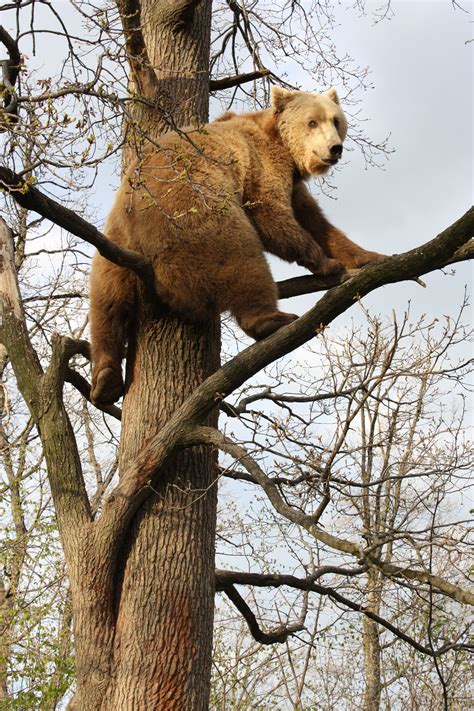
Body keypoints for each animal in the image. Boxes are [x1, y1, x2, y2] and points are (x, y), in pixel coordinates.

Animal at [89, 86, 384, 404]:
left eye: (336, 121)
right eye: (312, 122)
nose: (334, 149)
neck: (284, 150)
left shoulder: (295, 187)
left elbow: (316, 221)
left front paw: (368, 256)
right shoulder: (263, 167)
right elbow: (272, 215)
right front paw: (326, 263)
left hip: (114, 245)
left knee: (107, 302)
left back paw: (105, 380)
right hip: (197, 213)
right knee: (242, 257)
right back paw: (273, 318)